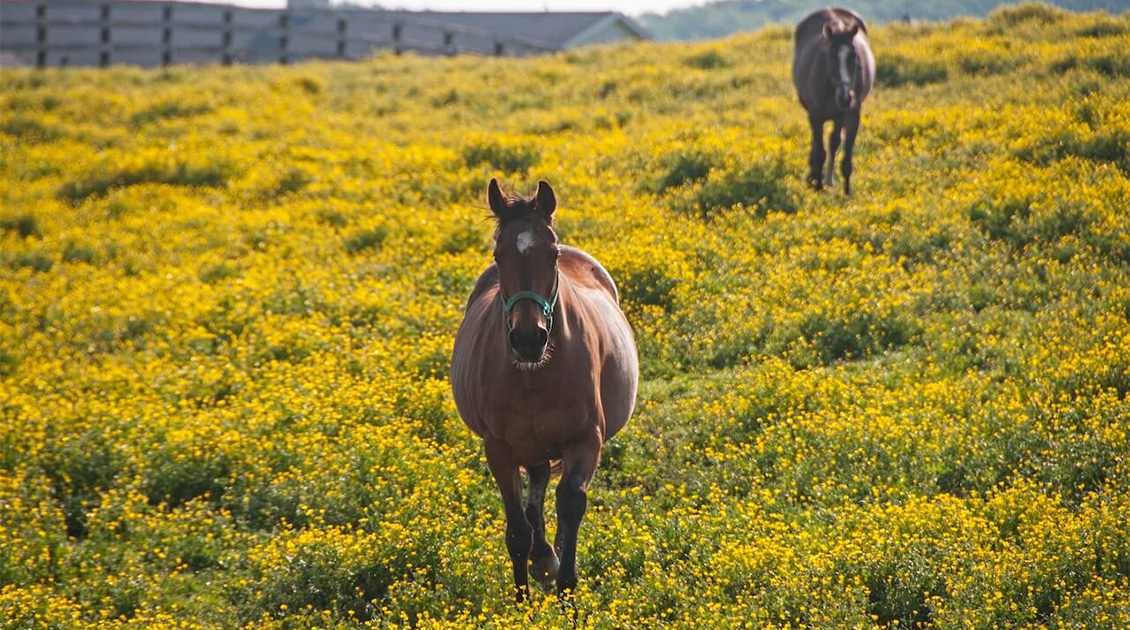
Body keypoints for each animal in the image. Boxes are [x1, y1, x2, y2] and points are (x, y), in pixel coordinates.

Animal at [450, 179, 639, 601]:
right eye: (498, 255)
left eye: (551, 256)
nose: (527, 338)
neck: (535, 376)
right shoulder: (498, 448)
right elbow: (517, 529)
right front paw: (523, 599)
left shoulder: (586, 439)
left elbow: (570, 503)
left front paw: (567, 589)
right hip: (528, 445)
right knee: (535, 492)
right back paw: (541, 558)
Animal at [792, 7, 875, 195]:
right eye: (830, 55)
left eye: (854, 56)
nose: (845, 98)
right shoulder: (815, 115)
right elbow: (819, 152)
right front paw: (817, 188)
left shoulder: (851, 115)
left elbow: (846, 156)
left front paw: (847, 193)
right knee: (819, 144)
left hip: (838, 117)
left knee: (834, 142)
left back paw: (828, 180)